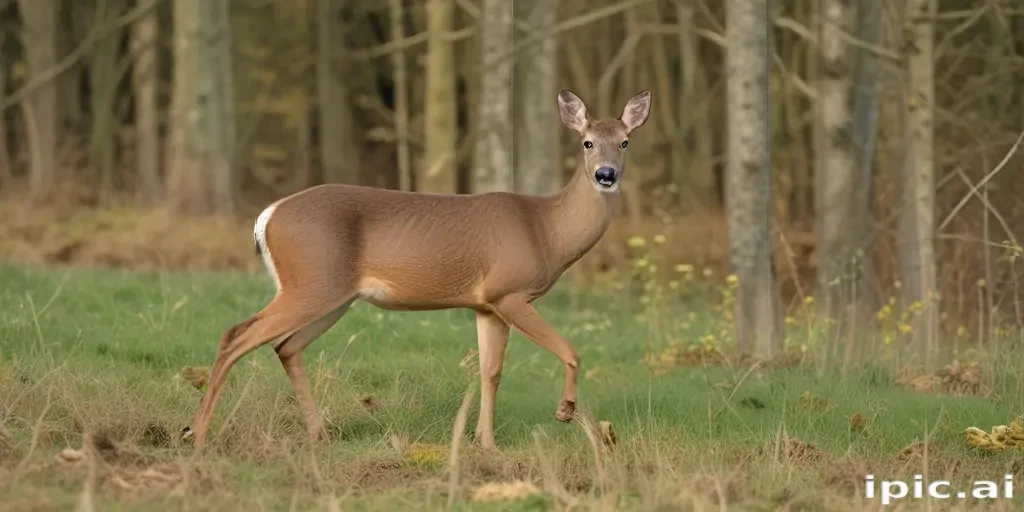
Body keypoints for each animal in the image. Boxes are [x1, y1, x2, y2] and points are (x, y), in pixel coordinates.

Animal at [180, 89, 651, 451]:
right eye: (587, 142)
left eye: (625, 142)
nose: (606, 175)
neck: (546, 228)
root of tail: (267, 217)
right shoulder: (509, 291)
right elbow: (571, 350)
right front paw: (565, 411)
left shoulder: (486, 305)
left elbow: (490, 372)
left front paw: (486, 444)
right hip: (311, 282)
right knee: (237, 335)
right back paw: (197, 434)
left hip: (332, 295)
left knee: (285, 346)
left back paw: (318, 434)